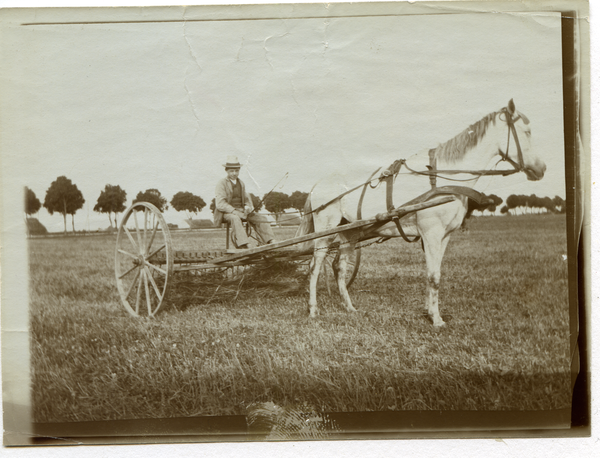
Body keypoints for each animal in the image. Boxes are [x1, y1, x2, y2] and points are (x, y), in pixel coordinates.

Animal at [298, 99, 548, 326]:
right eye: (527, 132)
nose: (542, 168)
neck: (444, 179)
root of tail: (318, 184)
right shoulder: (431, 234)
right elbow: (433, 276)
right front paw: (436, 319)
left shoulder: (444, 237)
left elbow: (435, 273)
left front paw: (430, 312)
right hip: (325, 231)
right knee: (314, 267)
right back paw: (313, 309)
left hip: (350, 232)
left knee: (339, 268)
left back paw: (349, 307)